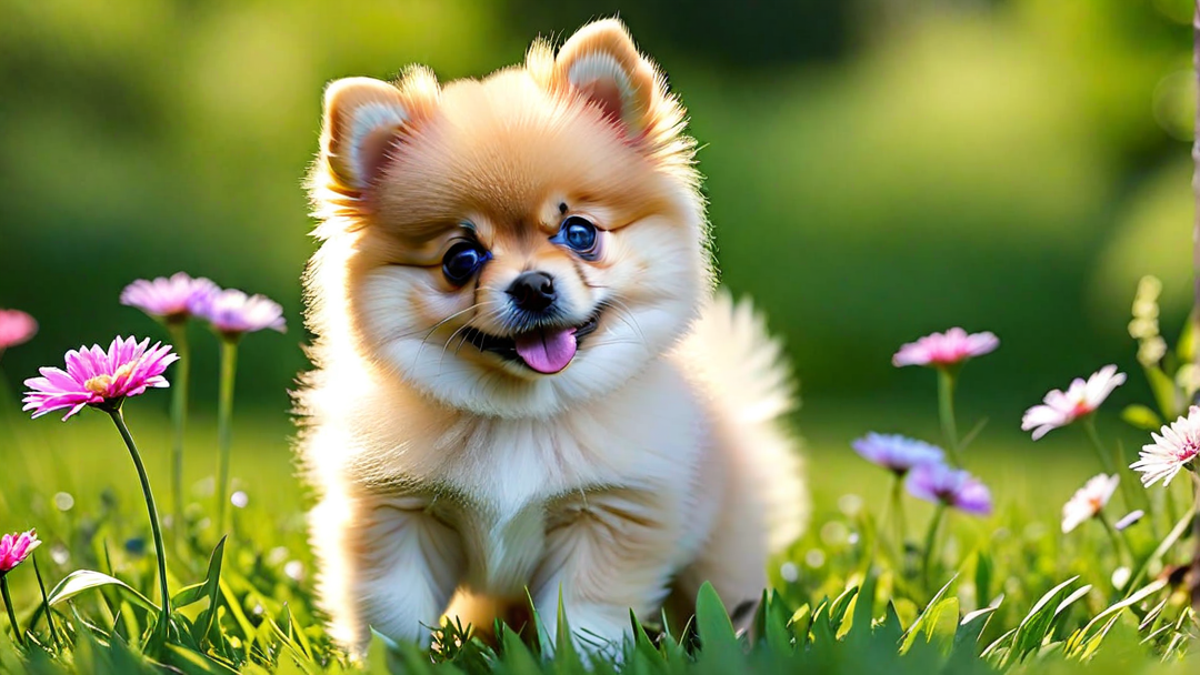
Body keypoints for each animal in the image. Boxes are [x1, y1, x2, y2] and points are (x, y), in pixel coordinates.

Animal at [296, 17, 811, 658]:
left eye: (579, 232)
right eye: (460, 258)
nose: (534, 285)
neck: (524, 417)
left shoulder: (611, 516)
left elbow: (583, 619)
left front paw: (577, 662)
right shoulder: (395, 509)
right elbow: (394, 610)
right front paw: (403, 663)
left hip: (722, 552)